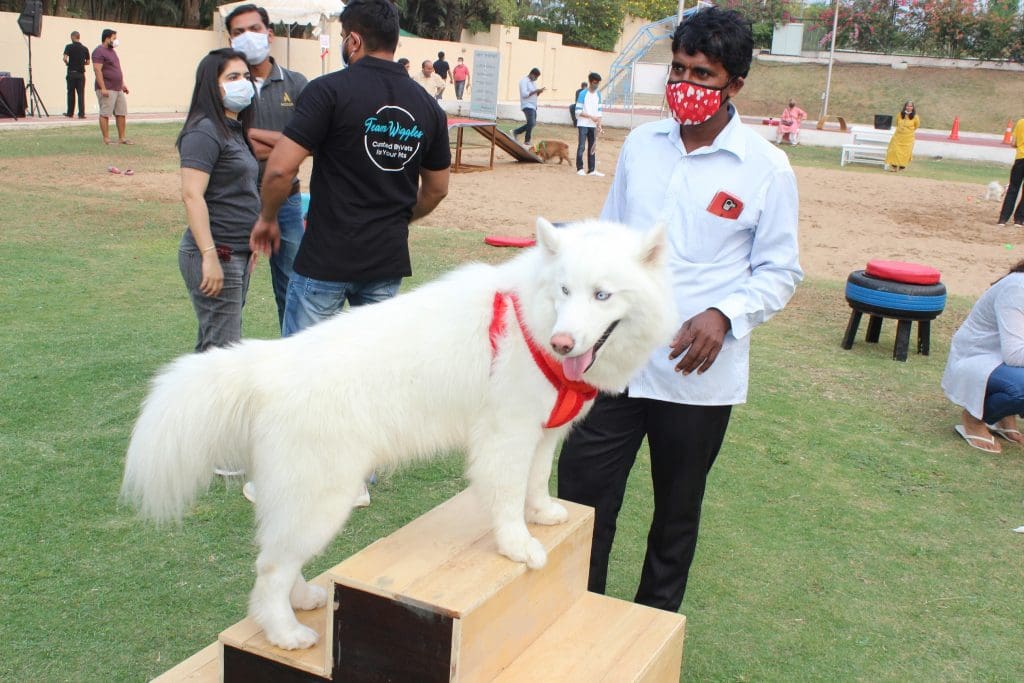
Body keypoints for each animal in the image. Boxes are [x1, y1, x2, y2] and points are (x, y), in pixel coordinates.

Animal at [119, 219, 675, 651]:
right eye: (564, 291)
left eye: (602, 295)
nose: (562, 342)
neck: (528, 321)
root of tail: (269, 364)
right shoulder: (506, 435)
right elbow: (506, 499)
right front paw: (518, 546)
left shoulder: (541, 433)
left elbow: (535, 484)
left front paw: (542, 514)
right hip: (323, 499)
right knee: (269, 570)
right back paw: (285, 633)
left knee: (279, 559)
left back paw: (305, 598)